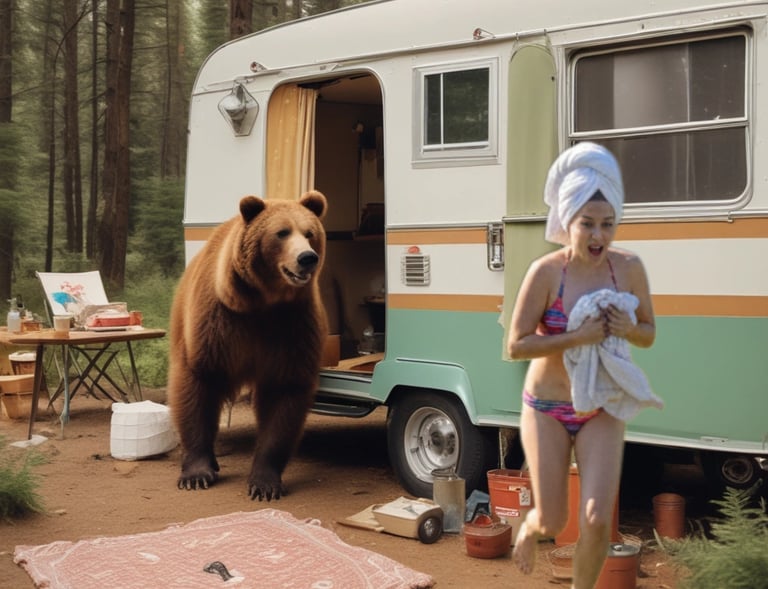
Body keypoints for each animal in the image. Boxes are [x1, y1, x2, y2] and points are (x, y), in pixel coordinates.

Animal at [167, 190, 328, 501]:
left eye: (310, 233)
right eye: (282, 232)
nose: (306, 258)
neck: (261, 302)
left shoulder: (291, 327)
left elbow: (283, 395)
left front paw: (264, 483)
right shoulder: (218, 323)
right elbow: (197, 383)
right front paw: (196, 473)